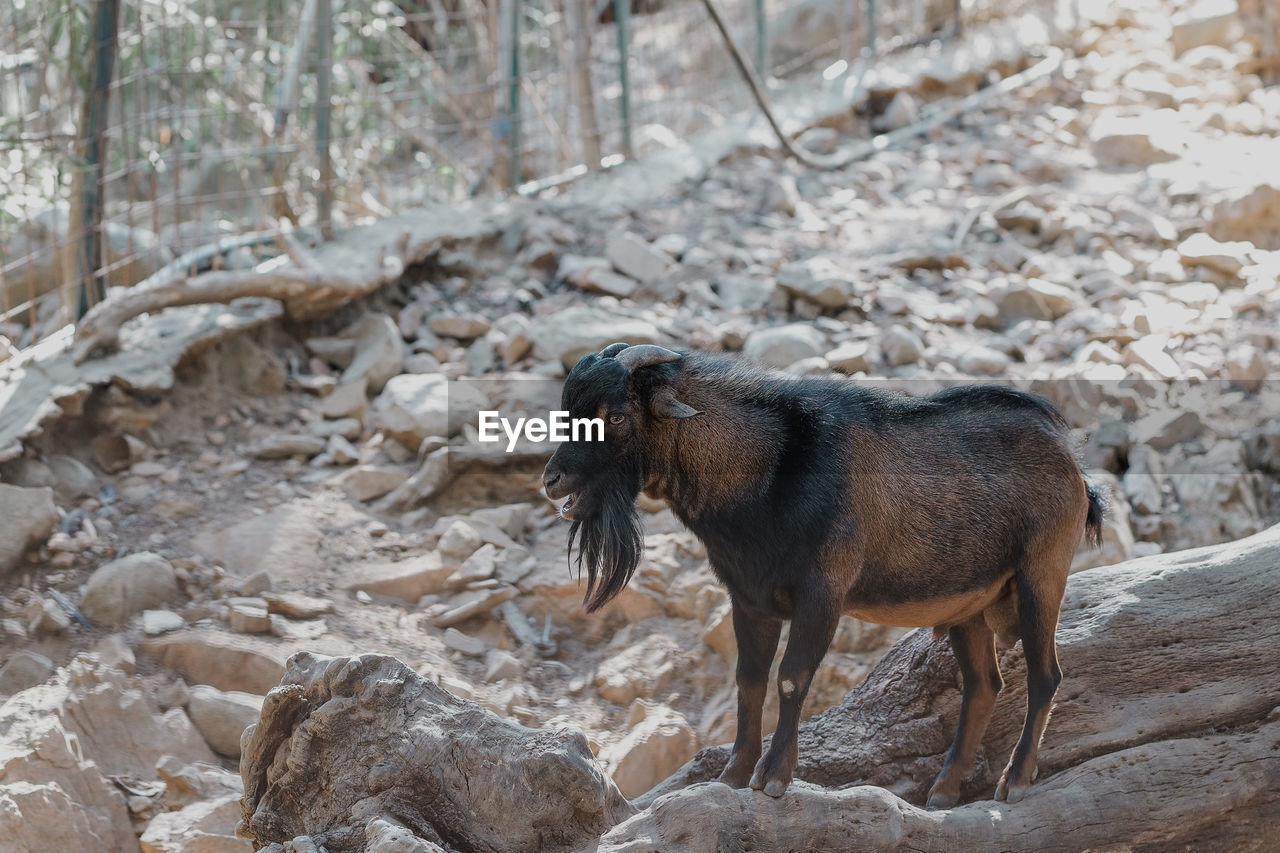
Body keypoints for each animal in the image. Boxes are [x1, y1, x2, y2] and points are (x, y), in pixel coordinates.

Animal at [540, 340, 1100, 804]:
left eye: (616, 414)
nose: (552, 479)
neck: (765, 473)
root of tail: (1075, 469)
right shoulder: (749, 599)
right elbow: (748, 680)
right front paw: (733, 775)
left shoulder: (822, 594)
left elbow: (791, 677)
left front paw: (773, 778)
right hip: (970, 607)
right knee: (984, 686)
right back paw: (943, 791)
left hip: (1041, 577)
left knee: (1045, 676)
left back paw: (1014, 781)